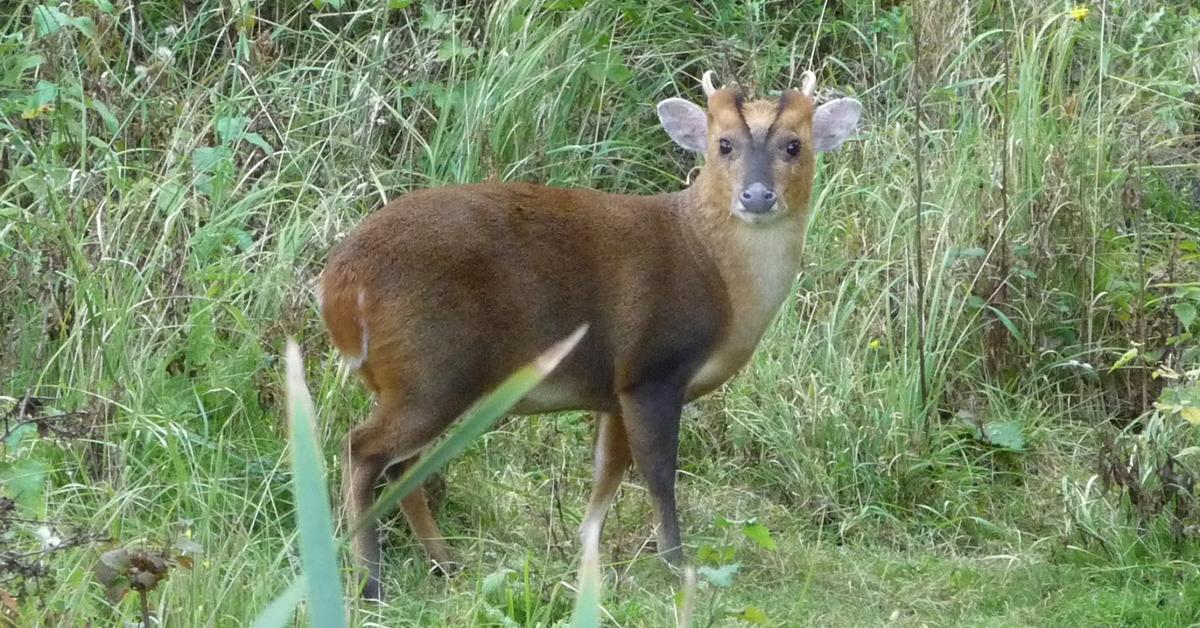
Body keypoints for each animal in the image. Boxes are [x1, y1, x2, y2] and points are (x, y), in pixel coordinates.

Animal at [321, 68, 864, 600]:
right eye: (723, 144)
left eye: (794, 145)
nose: (756, 195)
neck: (715, 268)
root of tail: (338, 287)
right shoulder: (653, 369)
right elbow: (658, 472)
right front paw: (675, 563)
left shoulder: (614, 389)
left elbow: (606, 474)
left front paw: (588, 560)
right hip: (432, 368)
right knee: (363, 450)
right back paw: (371, 581)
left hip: (417, 379)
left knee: (402, 464)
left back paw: (446, 563)